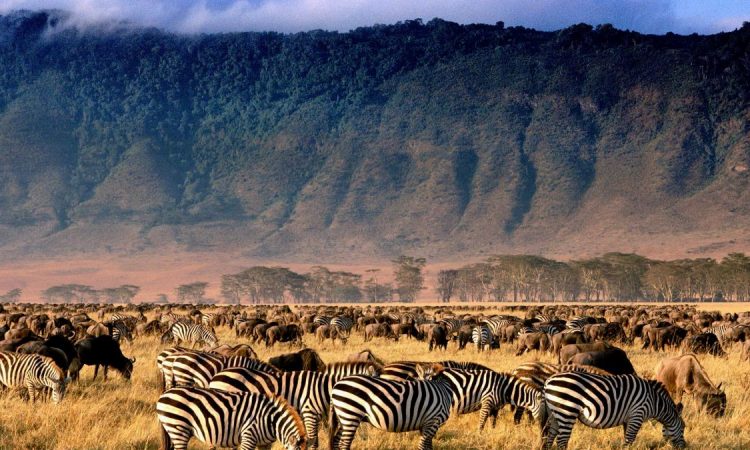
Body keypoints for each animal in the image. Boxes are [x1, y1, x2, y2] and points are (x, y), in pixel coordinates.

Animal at [543, 371, 686, 450]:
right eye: (683, 428)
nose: (685, 446)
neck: (654, 401)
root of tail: (548, 380)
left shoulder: (629, 419)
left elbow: (627, 439)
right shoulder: (637, 414)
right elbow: (629, 440)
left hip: (555, 413)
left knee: (550, 437)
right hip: (567, 411)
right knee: (562, 442)